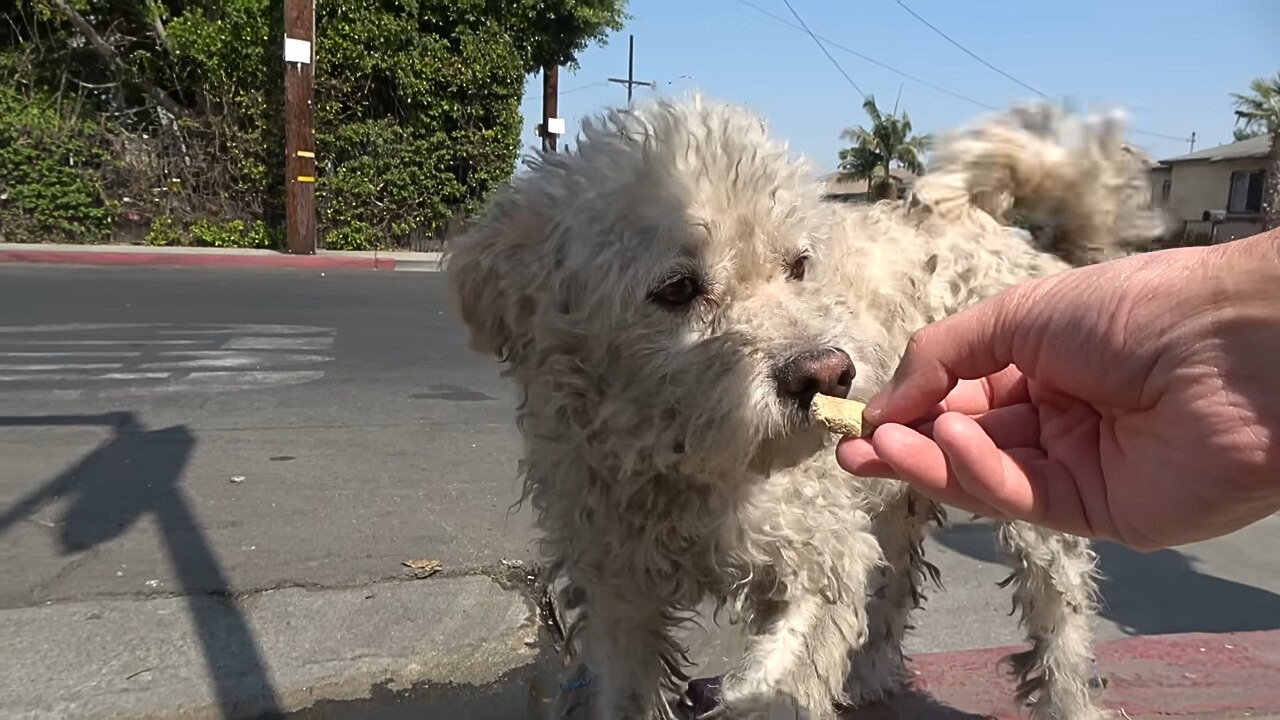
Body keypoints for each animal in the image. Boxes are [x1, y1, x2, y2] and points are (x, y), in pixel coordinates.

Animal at [445, 94, 1167, 717]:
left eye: (798, 266)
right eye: (676, 288)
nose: (827, 373)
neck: (685, 465)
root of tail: (1021, 239)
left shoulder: (820, 551)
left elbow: (786, 670)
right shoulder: (619, 586)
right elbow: (625, 688)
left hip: (1030, 505)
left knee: (1058, 612)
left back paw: (1069, 700)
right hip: (898, 490)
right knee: (897, 582)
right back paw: (871, 675)